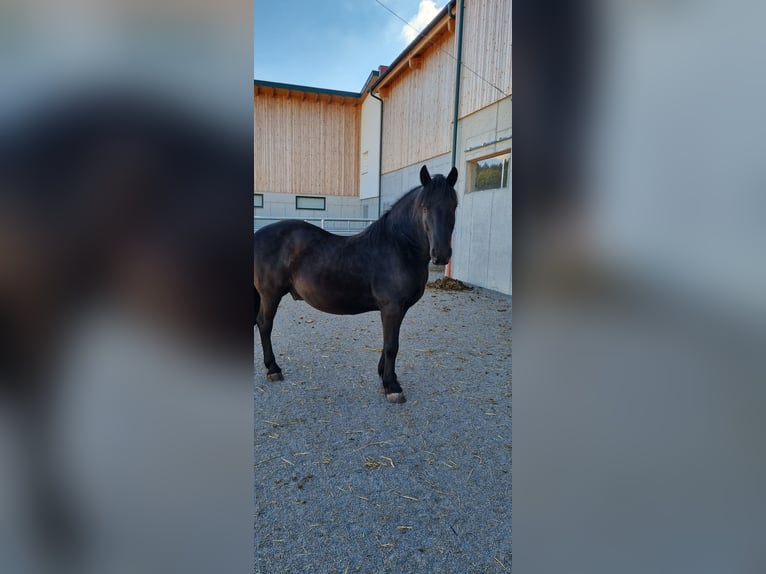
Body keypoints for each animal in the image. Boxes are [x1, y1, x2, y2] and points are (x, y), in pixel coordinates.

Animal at [253, 165, 458, 403]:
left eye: (453, 206)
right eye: (425, 207)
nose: (441, 255)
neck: (398, 247)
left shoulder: (399, 309)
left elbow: (388, 343)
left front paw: (384, 375)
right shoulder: (391, 307)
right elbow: (392, 345)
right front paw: (392, 386)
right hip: (270, 294)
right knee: (264, 324)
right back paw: (273, 369)